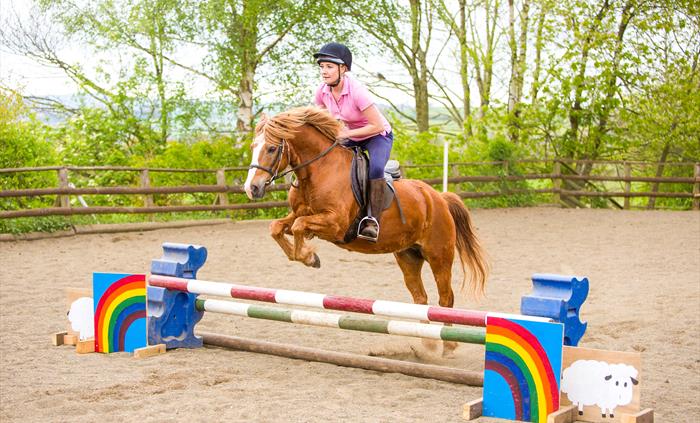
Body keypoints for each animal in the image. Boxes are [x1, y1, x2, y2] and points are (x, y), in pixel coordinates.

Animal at [244, 106, 490, 355]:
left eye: (272, 148)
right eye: (253, 147)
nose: (251, 188)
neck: (319, 171)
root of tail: (438, 197)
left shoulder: (335, 224)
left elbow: (299, 226)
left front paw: (309, 256)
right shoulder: (299, 214)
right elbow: (278, 227)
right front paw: (308, 256)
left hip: (439, 256)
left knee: (445, 298)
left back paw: (448, 345)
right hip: (408, 256)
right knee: (420, 298)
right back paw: (428, 343)